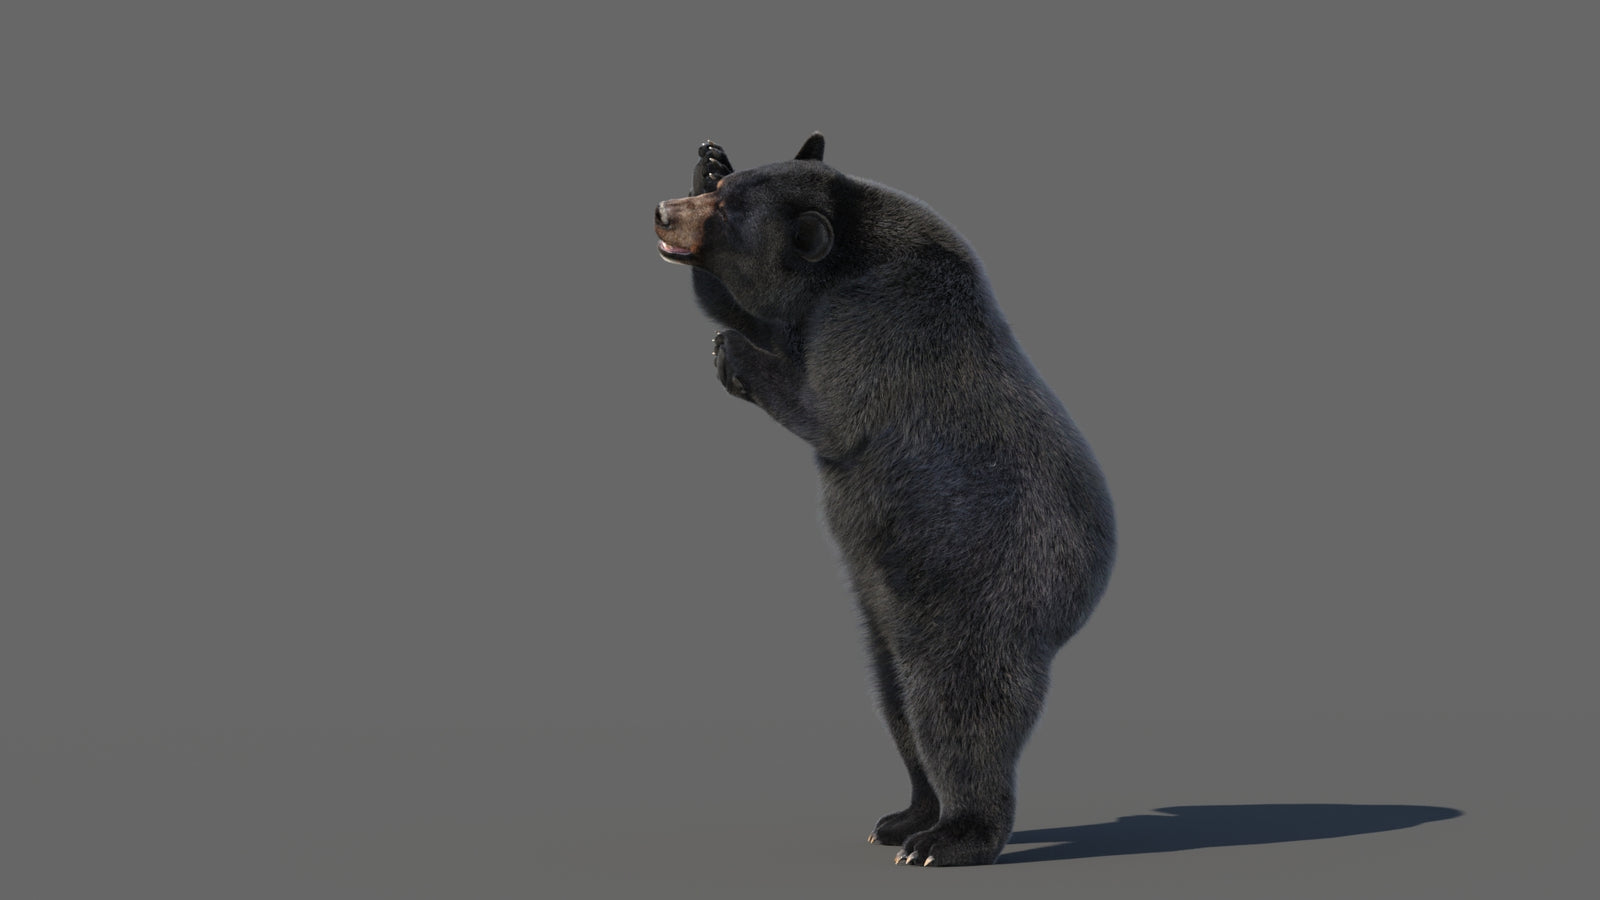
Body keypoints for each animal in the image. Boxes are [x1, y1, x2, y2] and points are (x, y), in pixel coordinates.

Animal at [653, 134, 1116, 867]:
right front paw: (710, 155)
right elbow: (763, 315)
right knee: (894, 699)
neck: (851, 254)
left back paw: (951, 836)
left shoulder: (877, 323)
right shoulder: (820, 309)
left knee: (957, 710)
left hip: (982, 594)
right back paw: (904, 816)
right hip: (888, 608)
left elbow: (829, 409)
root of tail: (1086, 591)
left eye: (727, 215)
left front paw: (733, 352)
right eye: (721, 194)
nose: (664, 212)